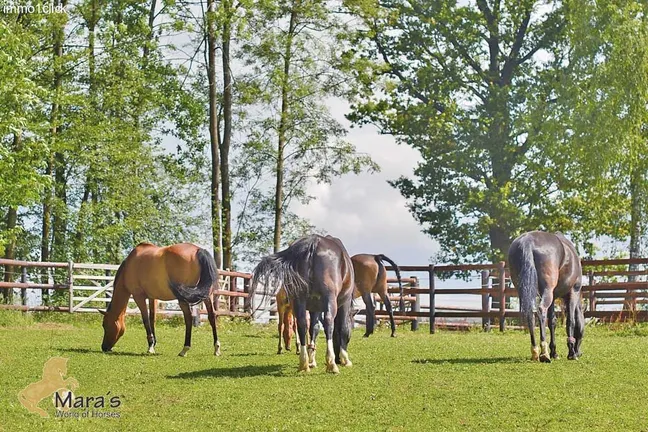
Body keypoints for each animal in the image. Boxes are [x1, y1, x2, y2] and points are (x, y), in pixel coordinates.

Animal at [249, 235, 354, 372]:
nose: (339, 360)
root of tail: (313, 243)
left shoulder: (315, 308)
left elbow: (313, 328)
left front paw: (312, 359)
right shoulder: (344, 303)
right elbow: (343, 328)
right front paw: (345, 359)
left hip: (299, 299)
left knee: (301, 324)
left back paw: (304, 363)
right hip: (329, 298)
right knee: (328, 321)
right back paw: (331, 363)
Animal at [508, 231, 584, 362]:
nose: (579, 353)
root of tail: (527, 241)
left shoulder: (553, 297)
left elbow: (552, 322)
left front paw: (554, 352)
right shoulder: (573, 291)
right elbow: (571, 321)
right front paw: (571, 353)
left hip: (525, 290)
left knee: (530, 314)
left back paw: (535, 351)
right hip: (547, 290)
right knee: (541, 310)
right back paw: (544, 353)